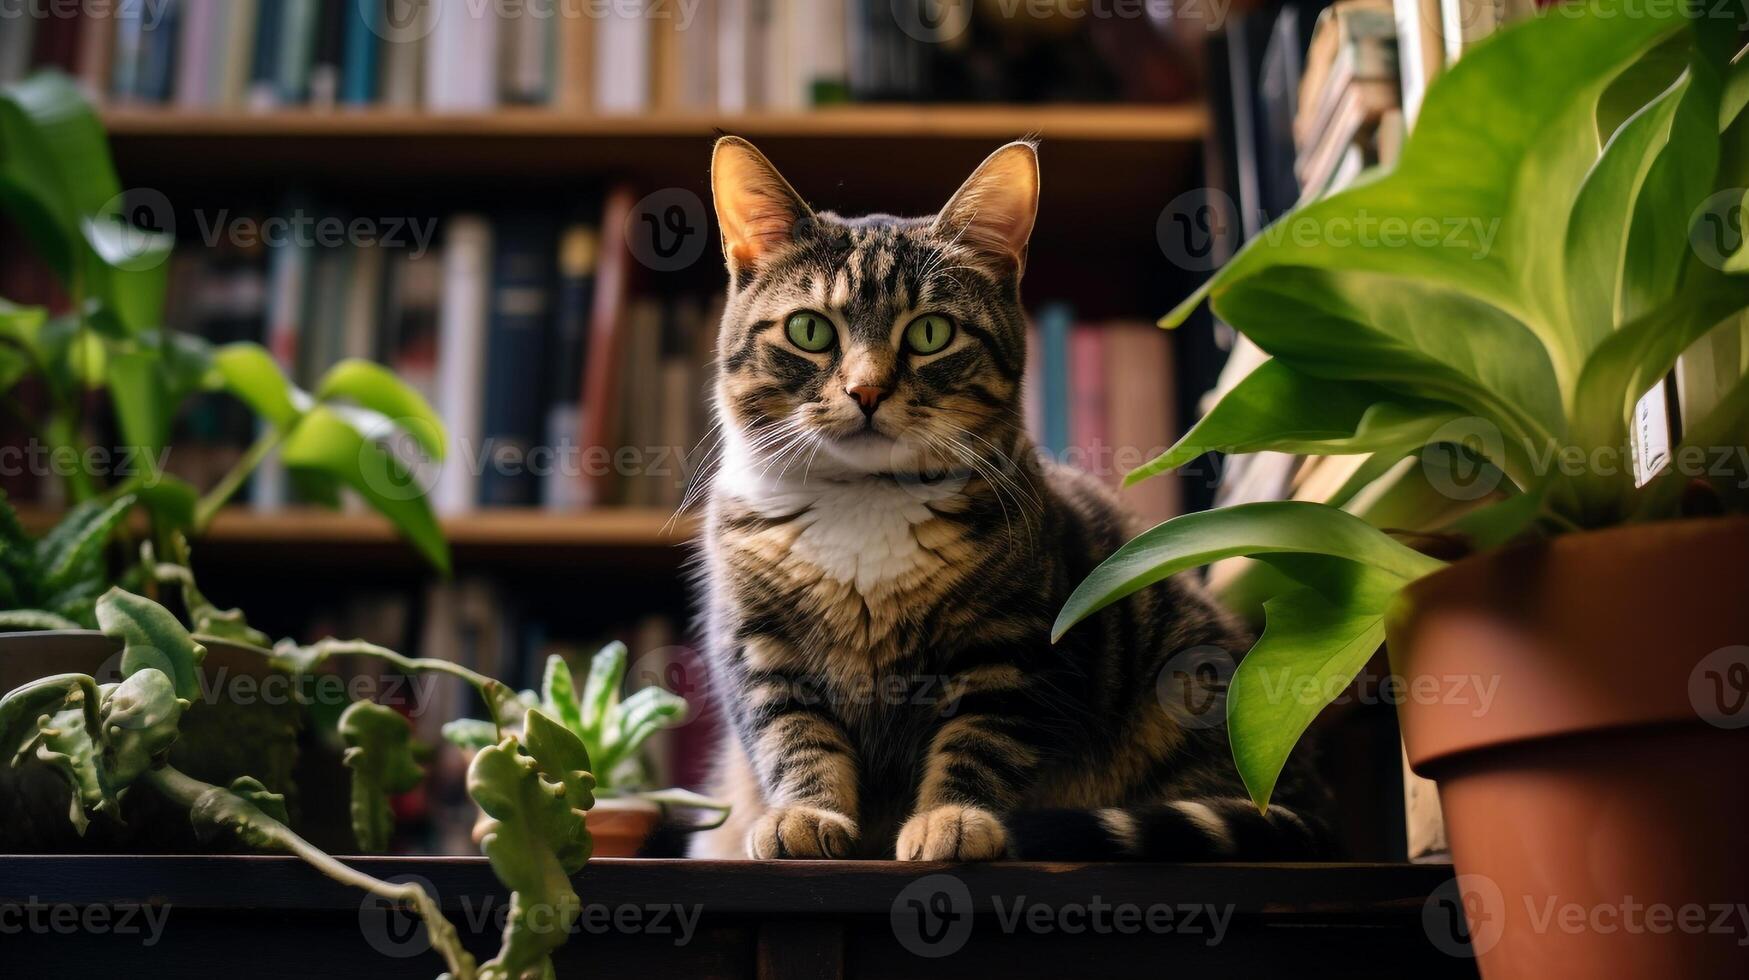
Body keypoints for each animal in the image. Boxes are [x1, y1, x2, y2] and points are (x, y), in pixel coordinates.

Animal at [689, 135, 1315, 857]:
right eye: (810, 331)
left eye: (930, 333)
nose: (866, 390)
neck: (866, 505)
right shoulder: (759, 648)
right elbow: (793, 738)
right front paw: (805, 814)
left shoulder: (1015, 644)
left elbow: (980, 742)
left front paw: (952, 819)